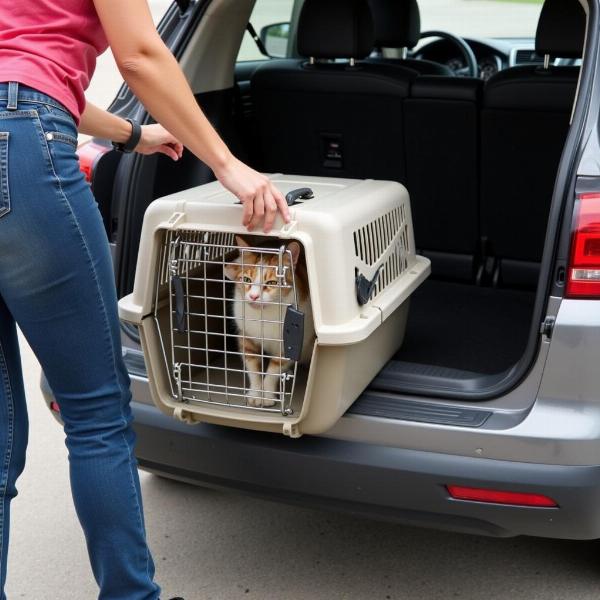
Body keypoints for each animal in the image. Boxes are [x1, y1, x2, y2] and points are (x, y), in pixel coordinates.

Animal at [221, 234, 314, 408]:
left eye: (271, 283)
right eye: (246, 279)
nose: (253, 296)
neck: (263, 317)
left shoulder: (289, 344)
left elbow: (273, 369)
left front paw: (267, 396)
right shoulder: (246, 338)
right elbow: (253, 369)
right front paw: (256, 393)